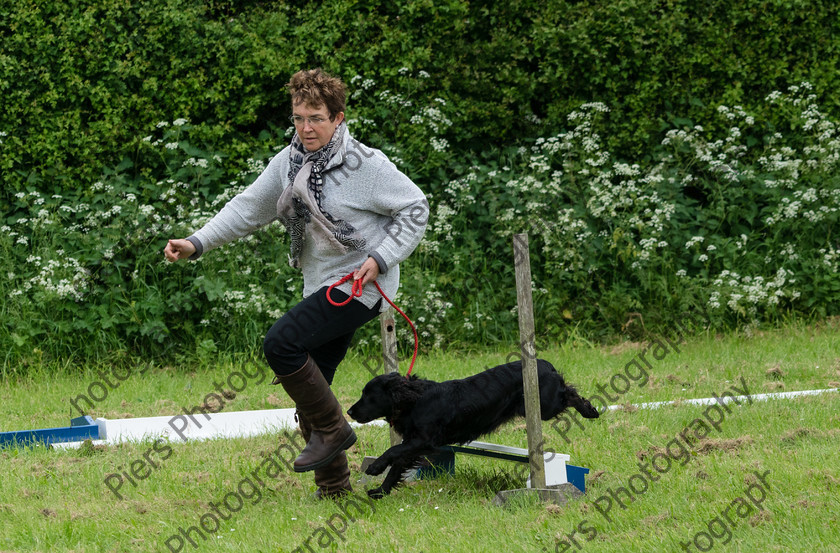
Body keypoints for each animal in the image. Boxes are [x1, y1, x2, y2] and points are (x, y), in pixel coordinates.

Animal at [346, 358, 596, 496]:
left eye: (369, 396)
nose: (349, 412)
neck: (416, 399)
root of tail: (544, 364)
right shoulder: (413, 442)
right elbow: (397, 465)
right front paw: (381, 491)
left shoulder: (423, 440)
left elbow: (393, 451)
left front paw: (375, 467)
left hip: (545, 407)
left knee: (571, 394)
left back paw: (590, 410)